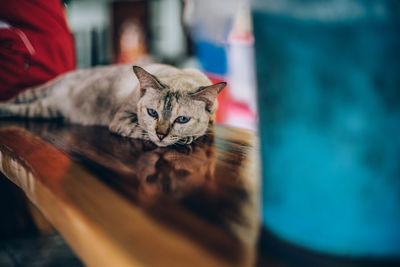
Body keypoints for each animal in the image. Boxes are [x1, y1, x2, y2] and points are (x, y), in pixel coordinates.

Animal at [0, 64, 225, 148]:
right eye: (152, 113)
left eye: (182, 119)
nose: (161, 135)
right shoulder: (122, 119)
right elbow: (143, 131)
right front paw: (185, 138)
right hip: (38, 92)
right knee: (14, 101)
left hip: (46, 110)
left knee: (26, 108)